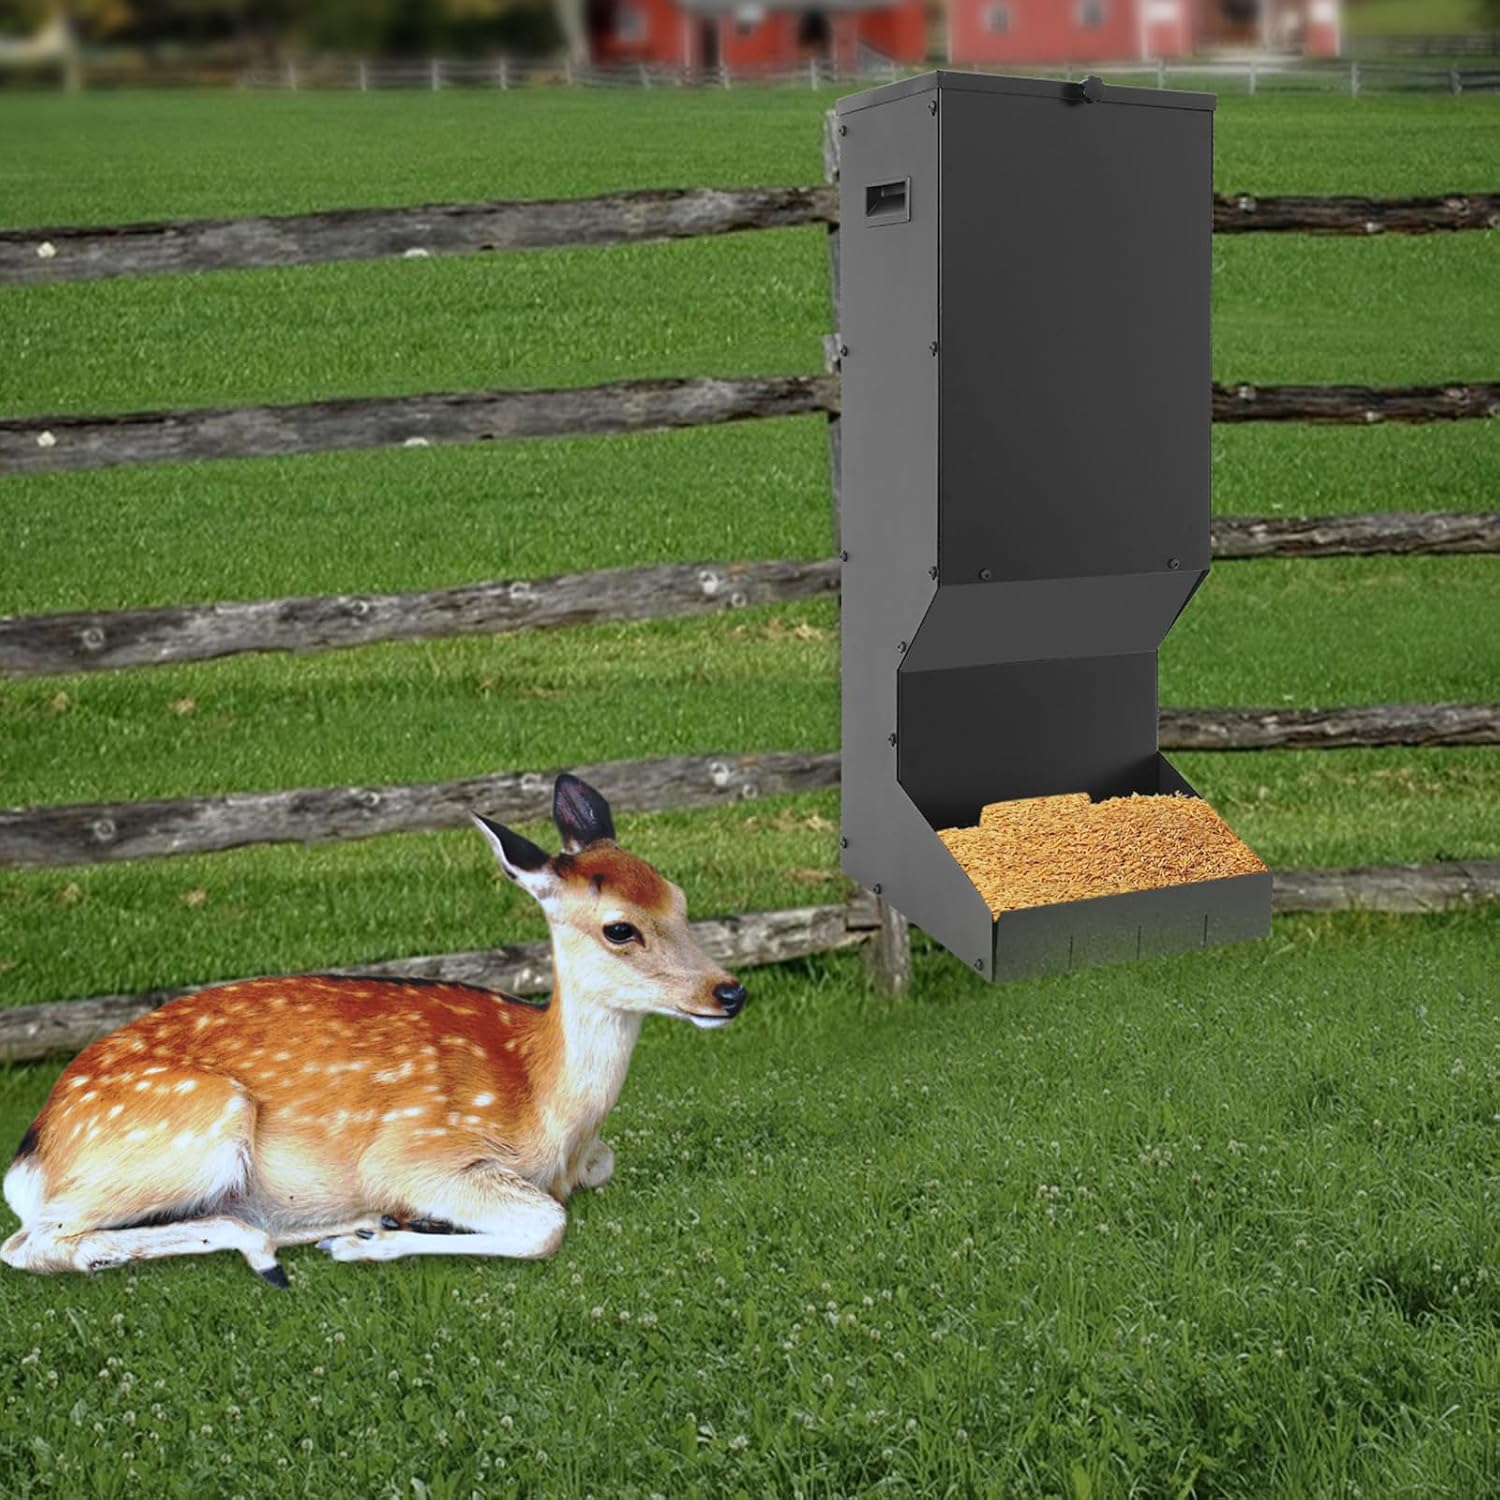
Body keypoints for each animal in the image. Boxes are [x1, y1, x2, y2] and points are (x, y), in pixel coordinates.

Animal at [1, 773, 746, 1286]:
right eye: (620, 928)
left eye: (679, 900)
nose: (729, 991)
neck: (550, 1113)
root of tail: (30, 1154)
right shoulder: (416, 1151)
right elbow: (546, 1225)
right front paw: (374, 1243)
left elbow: (591, 1177)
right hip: (196, 1126)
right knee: (36, 1245)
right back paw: (293, 1242)